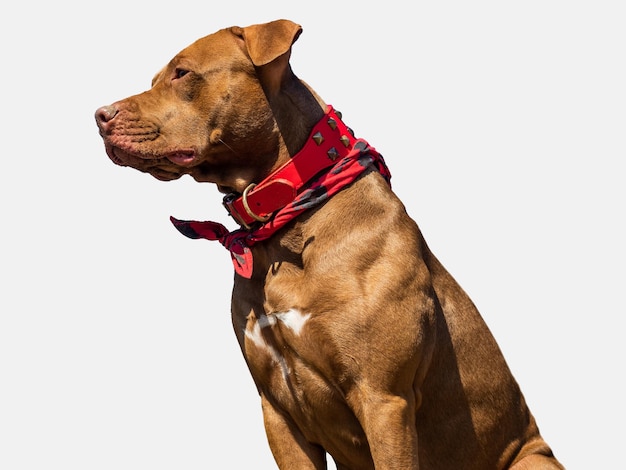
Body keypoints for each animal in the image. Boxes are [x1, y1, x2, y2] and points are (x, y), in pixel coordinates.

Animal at [95, 19, 564, 470]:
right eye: (155, 78)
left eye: (182, 73)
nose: (99, 115)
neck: (284, 227)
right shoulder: (279, 412)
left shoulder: (383, 400)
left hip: (532, 460)